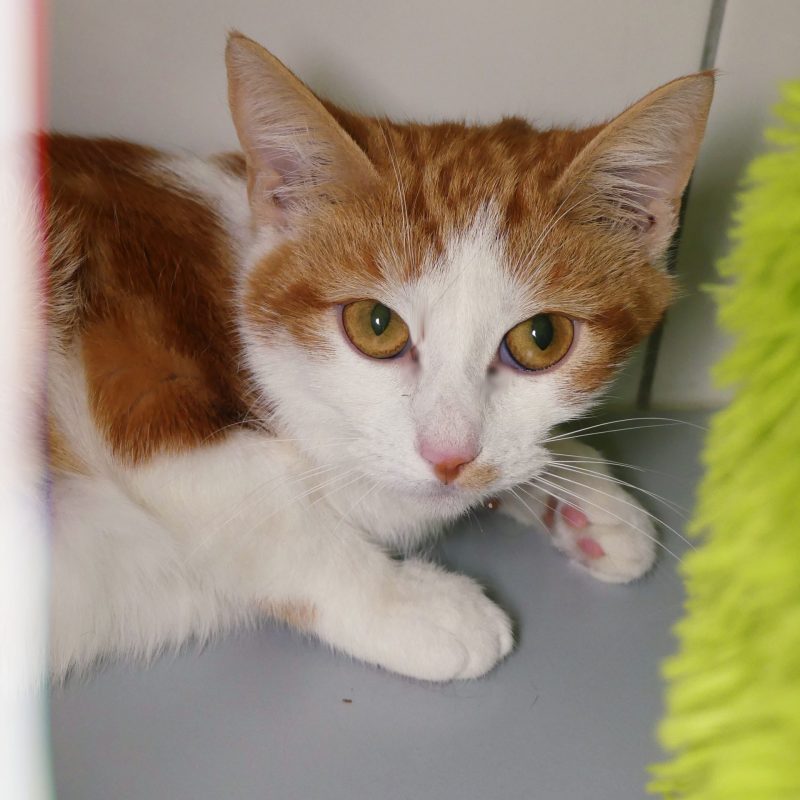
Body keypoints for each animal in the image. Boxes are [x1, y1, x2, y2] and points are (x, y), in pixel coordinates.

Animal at [45, 31, 712, 681]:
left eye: (542, 337)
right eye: (376, 325)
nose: (449, 457)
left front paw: (581, 494)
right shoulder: (129, 333)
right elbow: (258, 502)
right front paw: (411, 604)